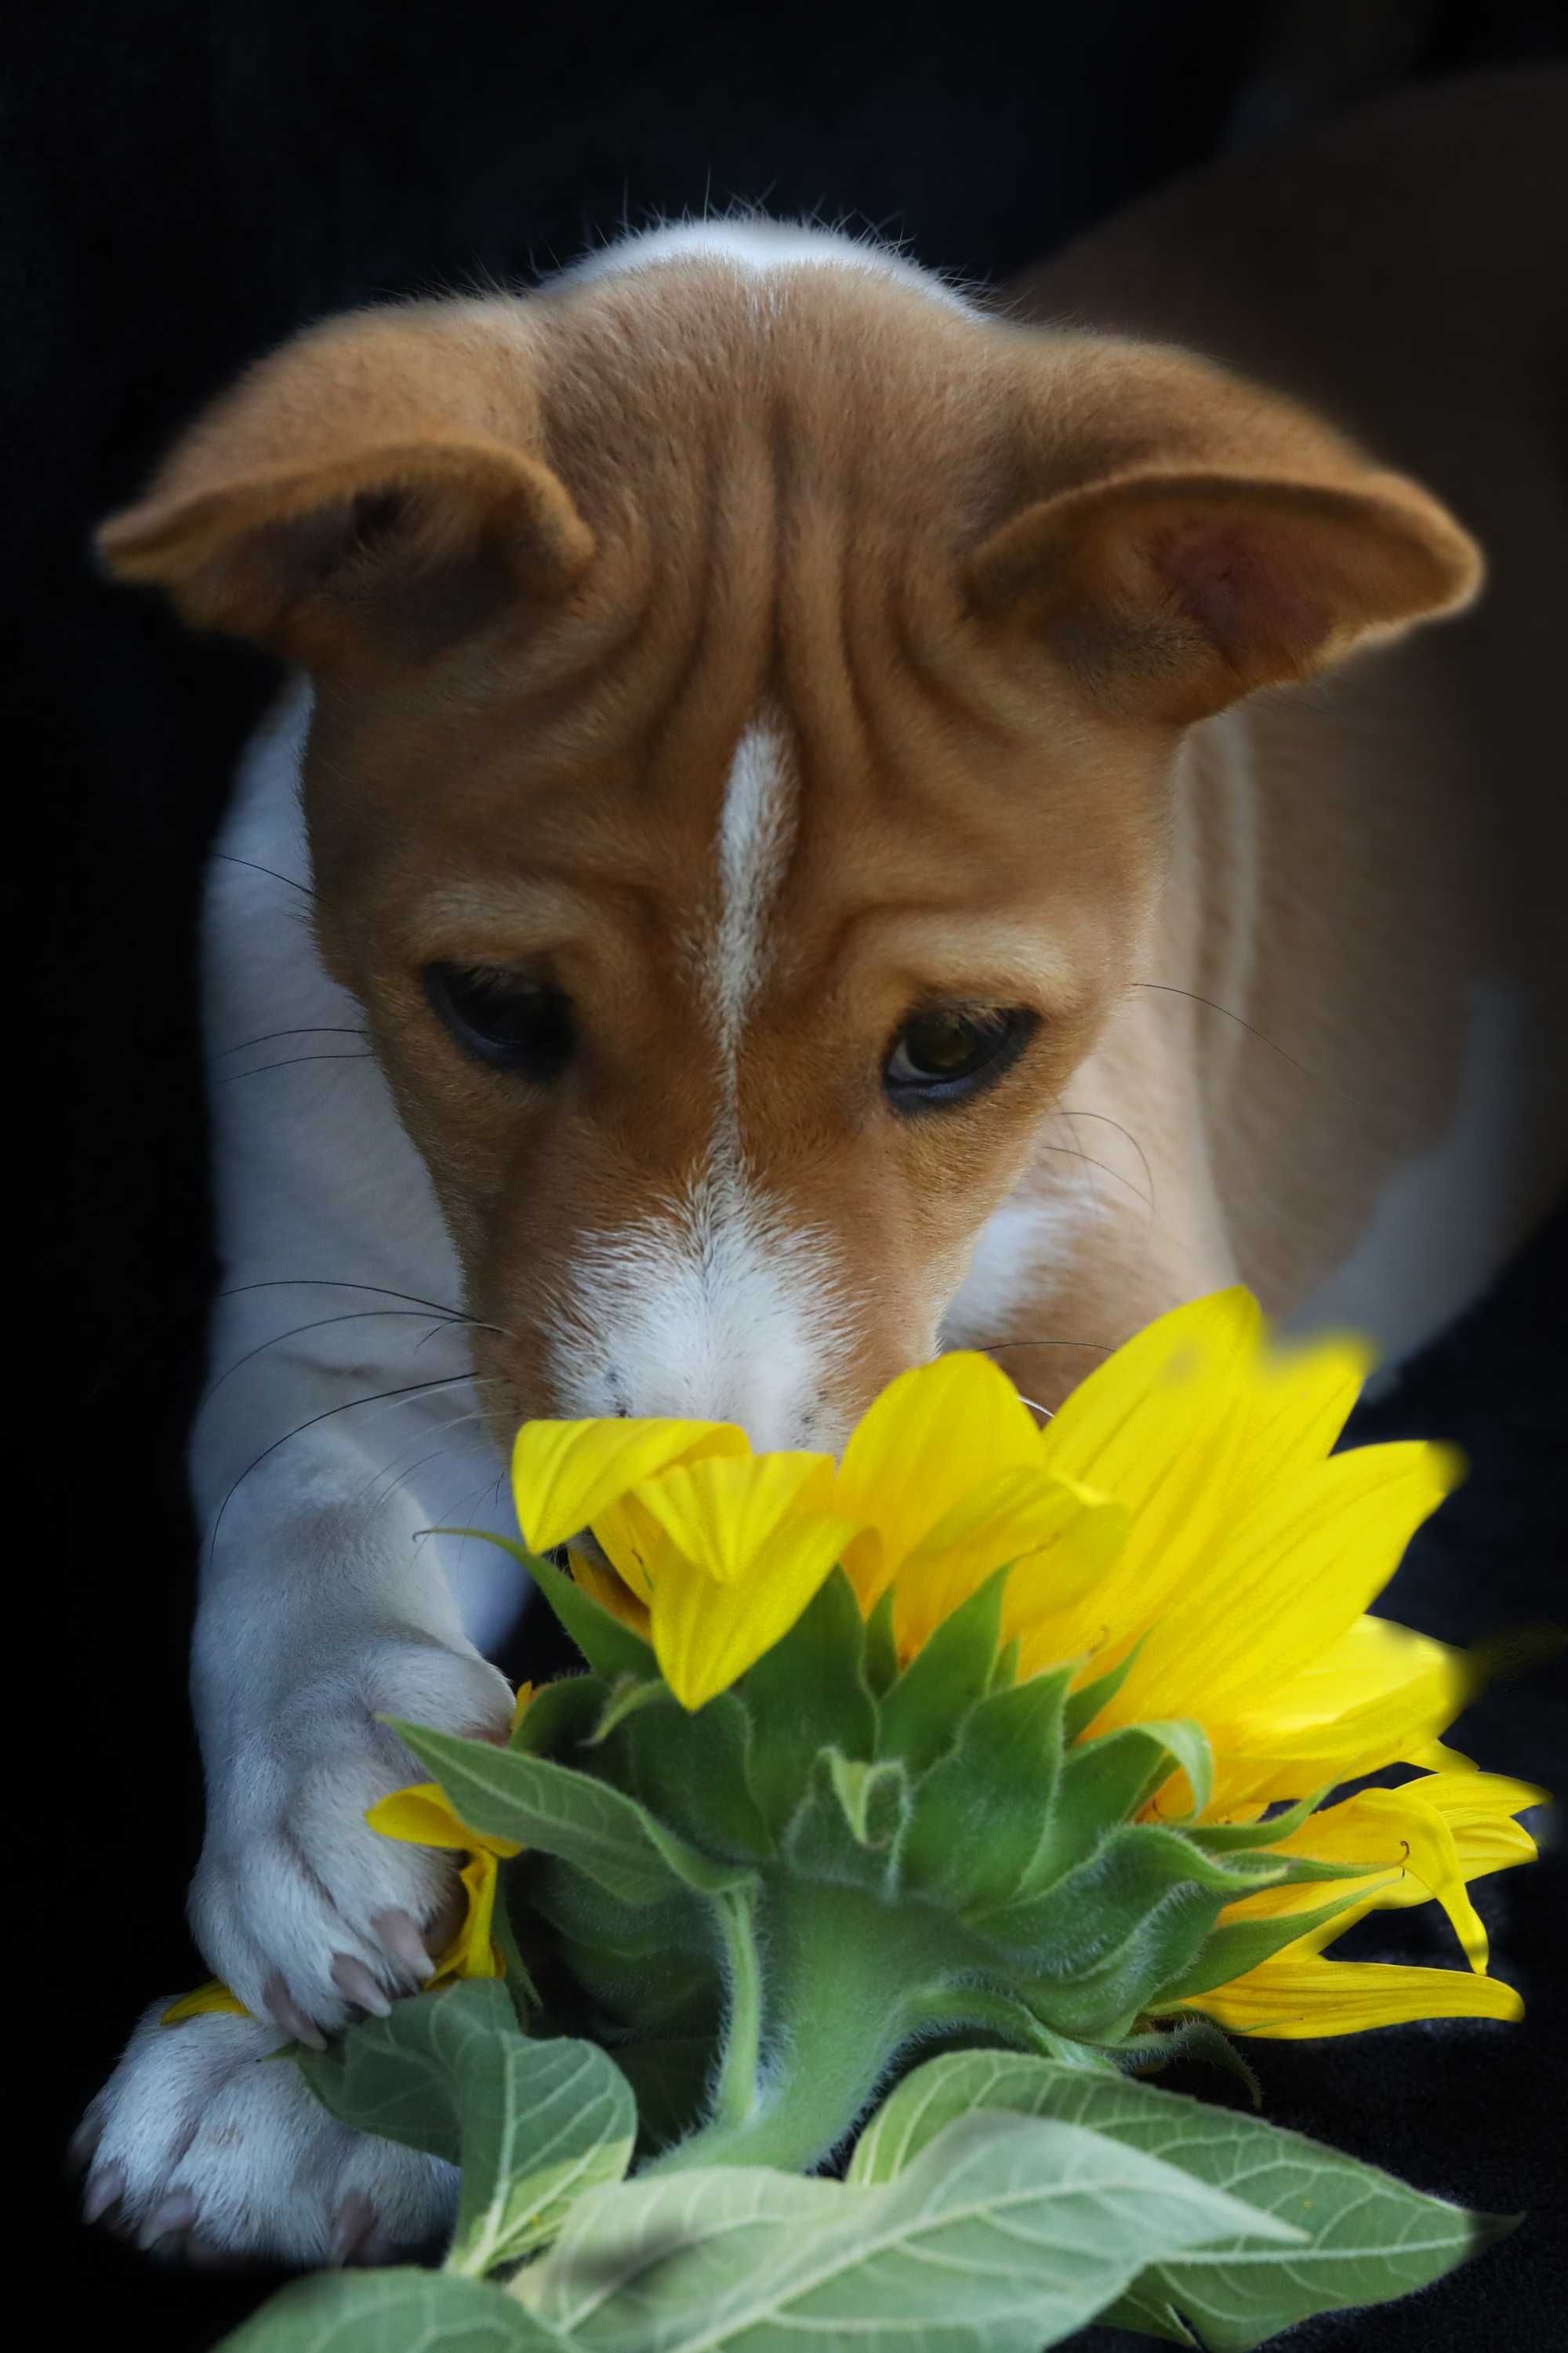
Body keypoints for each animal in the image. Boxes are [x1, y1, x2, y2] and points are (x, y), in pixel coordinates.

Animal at [70, 73, 1563, 2268]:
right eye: (491, 1007)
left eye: (956, 1046)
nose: (674, 1540)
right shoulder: (339, 1335)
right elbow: (305, 1525)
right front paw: (335, 1900)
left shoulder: (1135, 1376)